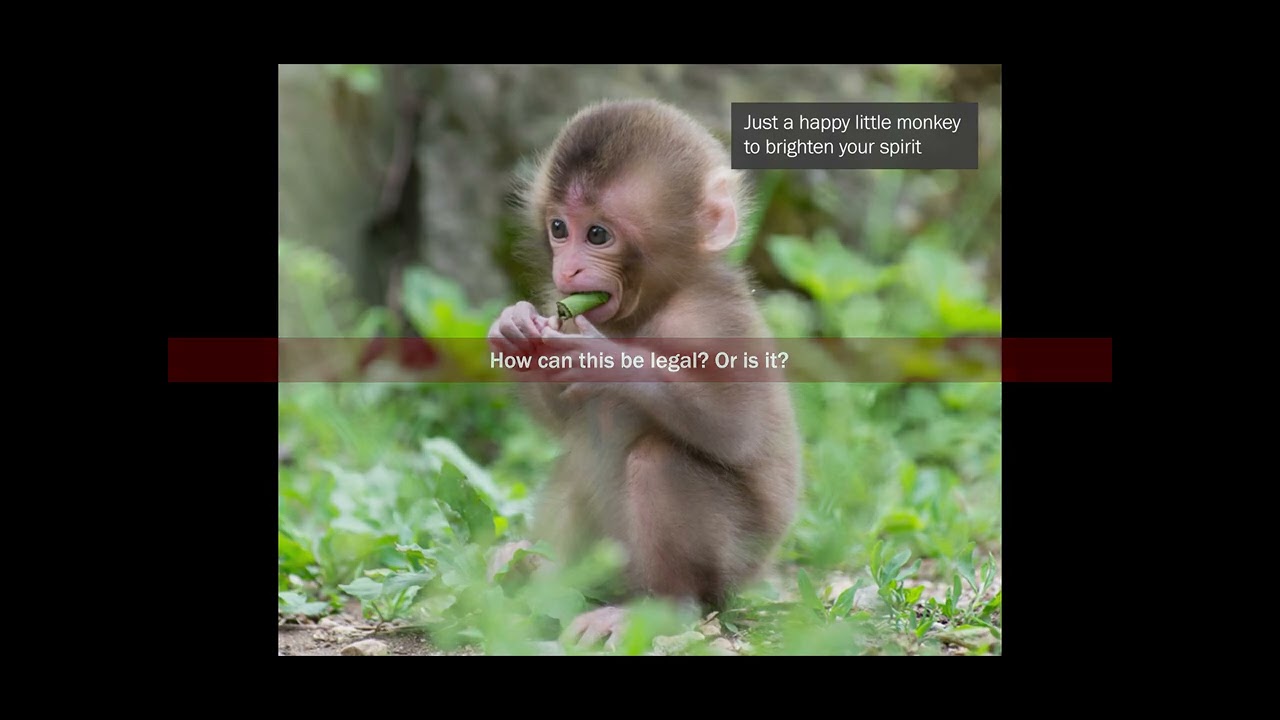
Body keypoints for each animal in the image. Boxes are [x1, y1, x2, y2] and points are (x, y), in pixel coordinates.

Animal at [486, 99, 801, 649]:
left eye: (598, 234)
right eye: (558, 229)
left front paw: (603, 359)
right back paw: (538, 572)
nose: (567, 270)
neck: (653, 302)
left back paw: (660, 609)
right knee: (576, 459)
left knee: (659, 461)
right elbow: (562, 416)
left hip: (734, 565)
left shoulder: (711, 317)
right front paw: (514, 329)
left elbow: (735, 426)